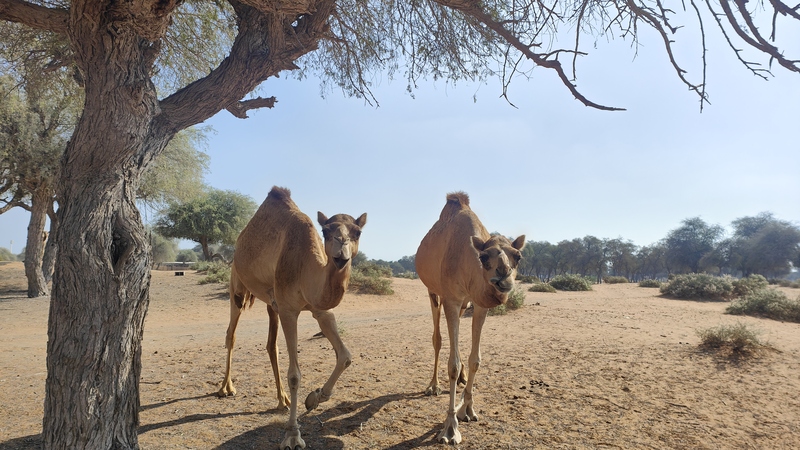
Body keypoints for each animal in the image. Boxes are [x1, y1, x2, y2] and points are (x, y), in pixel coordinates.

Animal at [219, 186, 368, 450]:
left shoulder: (320, 310)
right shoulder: (289, 309)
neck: (306, 266)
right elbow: (295, 375)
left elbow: (345, 356)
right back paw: (227, 388)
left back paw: (282, 400)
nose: (341, 253)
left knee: (271, 345)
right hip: (237, 286)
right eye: (326, 230)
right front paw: (292, 435)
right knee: (231, 335)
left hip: (272, 302)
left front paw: (315, 398)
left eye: (357, 232)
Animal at [418, 192, 524, 444]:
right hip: (433, 292)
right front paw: (449, 428)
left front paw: (467, 409)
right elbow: (452, 364)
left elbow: (476, 359)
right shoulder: (451, 299)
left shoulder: (478, 305)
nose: (503, 279)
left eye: (518, 256)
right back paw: (433, 386)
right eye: (484, 256)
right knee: (437, 339)